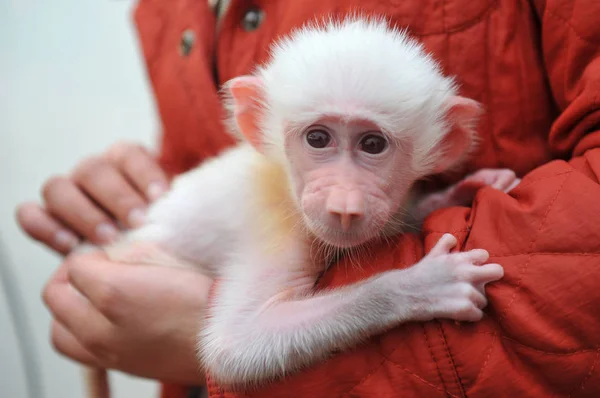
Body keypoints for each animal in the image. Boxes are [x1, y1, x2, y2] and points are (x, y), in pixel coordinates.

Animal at [86, 14, 516, 394]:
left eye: (372, 144)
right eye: (318, 139)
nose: (344, 204)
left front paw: (457, 192)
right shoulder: (281, 224)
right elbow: (236, 345)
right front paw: (421, 284)